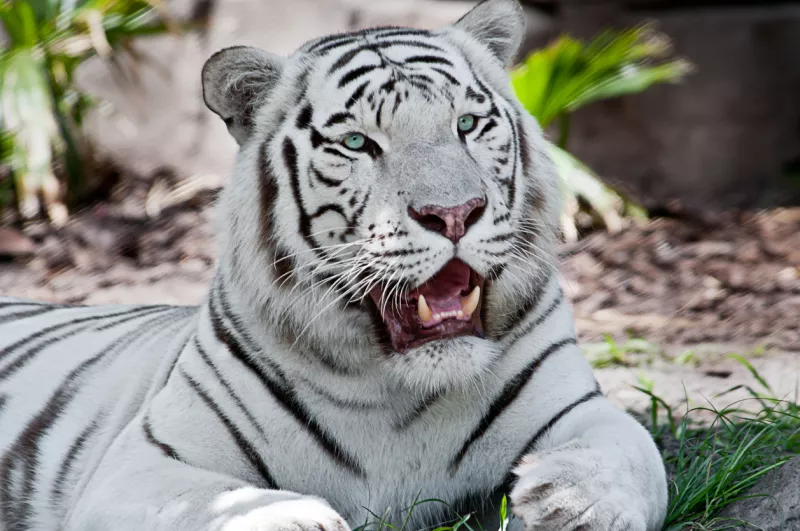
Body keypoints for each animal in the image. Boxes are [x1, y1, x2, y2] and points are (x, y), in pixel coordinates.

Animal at [0, 1, 668, 530]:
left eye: (468, 125)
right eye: (357, 144)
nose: (454, 214)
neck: (398, 393)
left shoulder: (581, 409)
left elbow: (632, 453)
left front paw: (567, 503)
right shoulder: (144, 463)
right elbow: (217, 505)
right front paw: (294, 518)